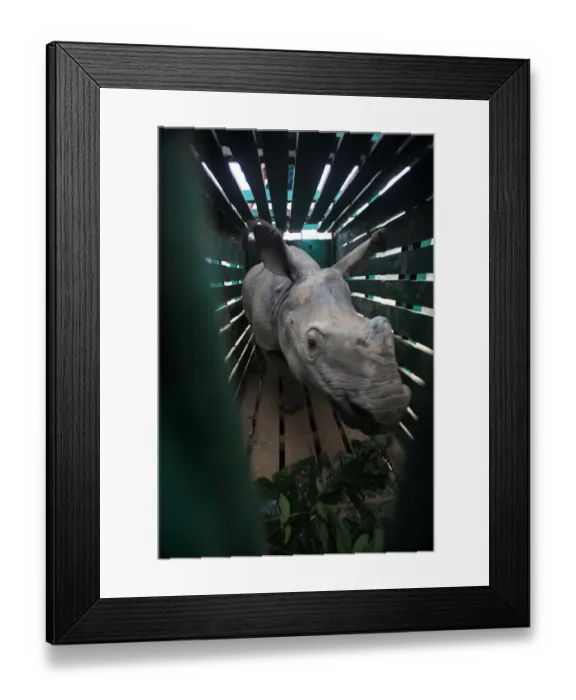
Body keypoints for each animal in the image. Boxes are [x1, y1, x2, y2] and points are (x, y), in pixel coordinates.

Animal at [241, 220, 411, 436]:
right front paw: (290, 408)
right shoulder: (269, 344)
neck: (287, 293)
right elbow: (286, 373)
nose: (390, 411)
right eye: (311, 343)